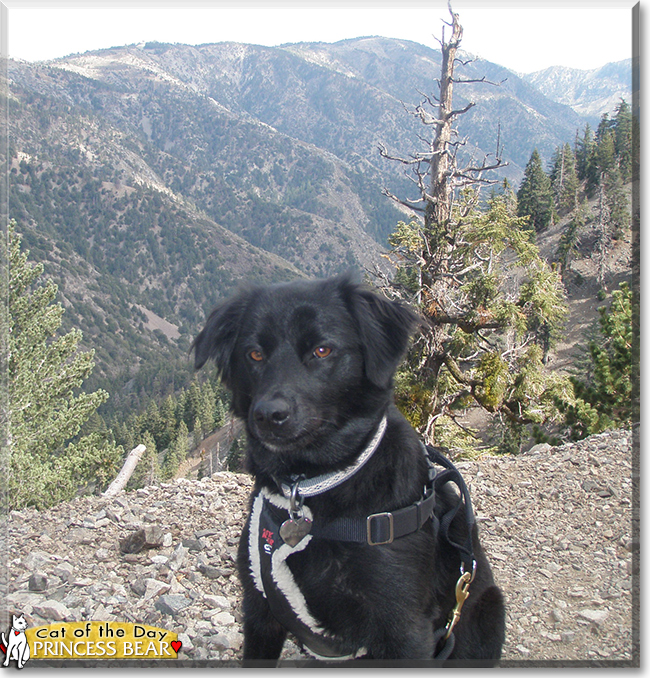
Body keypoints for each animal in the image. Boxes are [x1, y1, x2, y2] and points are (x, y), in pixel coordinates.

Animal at [190, 274, 504, 668]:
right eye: (255, 354)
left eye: (322, 350)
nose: (268, 415)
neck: (315, 485)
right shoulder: (260, 608)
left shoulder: (404, 631)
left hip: (487, 609)